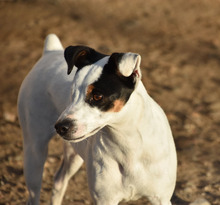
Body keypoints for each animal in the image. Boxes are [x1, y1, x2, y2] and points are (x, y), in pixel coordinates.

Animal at [18, 34, 178, 204]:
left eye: (97, 96)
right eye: (72, 93)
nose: (60, 127)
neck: (129, 145)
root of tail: (51, 51)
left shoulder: (160, 198)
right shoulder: (104, 199)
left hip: (73, 155)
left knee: (59, 180)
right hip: (34, 153)